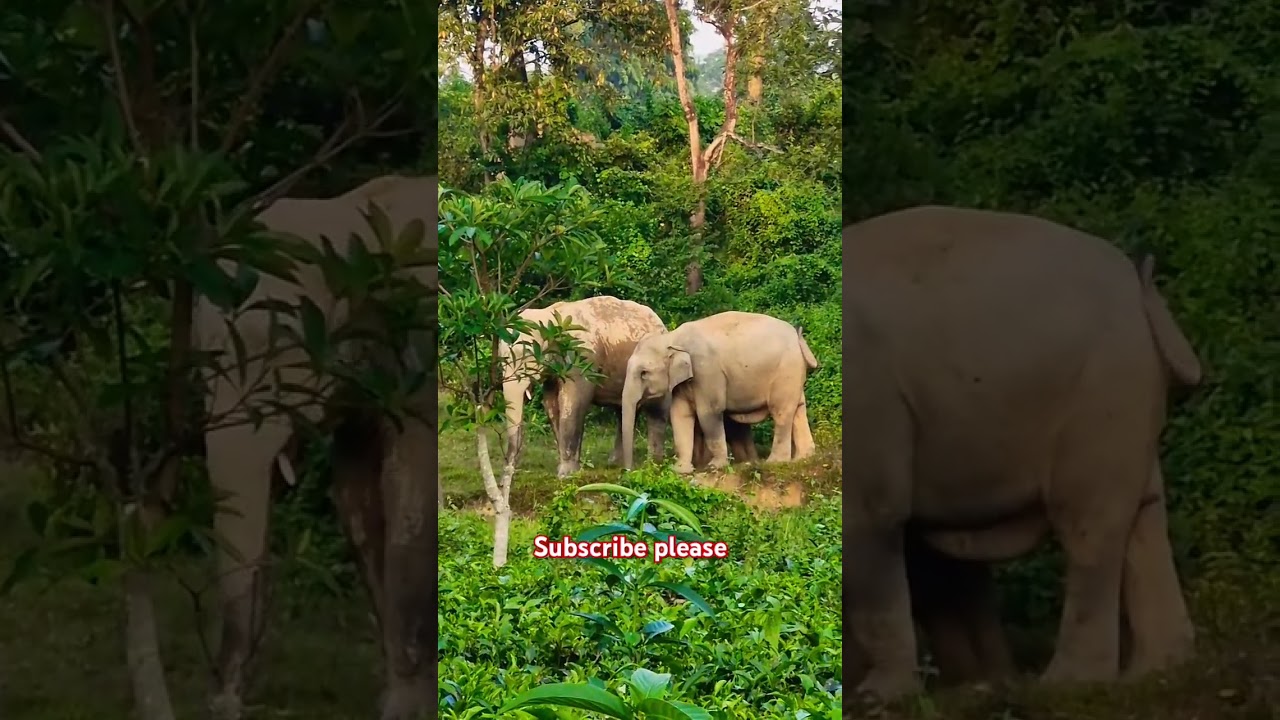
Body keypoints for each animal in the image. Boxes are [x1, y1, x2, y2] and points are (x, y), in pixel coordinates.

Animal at [499, 295, 667, 477]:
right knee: (623, 410)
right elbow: (551, 405)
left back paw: (653, 464)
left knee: (655, 409)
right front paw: (570, 469)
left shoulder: (580, 359)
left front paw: (565, 475)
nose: (510, 469)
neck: (549, 314)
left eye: (528, 356)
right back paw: (614, 463)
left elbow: (573, 402)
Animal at [621, 311, 819, 475]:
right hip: (794, 375)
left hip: (785, 371)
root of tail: (798, 338)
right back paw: (803, 458)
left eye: (643, 373)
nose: (628, 471)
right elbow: (679, 414)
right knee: (799, 409)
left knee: (781, 413)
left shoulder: (706, 370)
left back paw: (775, 462)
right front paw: (680, 470)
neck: (672, 338)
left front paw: (715, 467)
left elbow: (708, 413)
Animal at [842, 206, 1201, 703]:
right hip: (1127, 395)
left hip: (1101, 387)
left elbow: (873, 518)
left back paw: (1070, 684)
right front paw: (967, 688)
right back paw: (1157, 675)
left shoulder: (866, 402)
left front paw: (879, 698)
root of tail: (1136, 286)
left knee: (1089, 525)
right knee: (1145, 515)